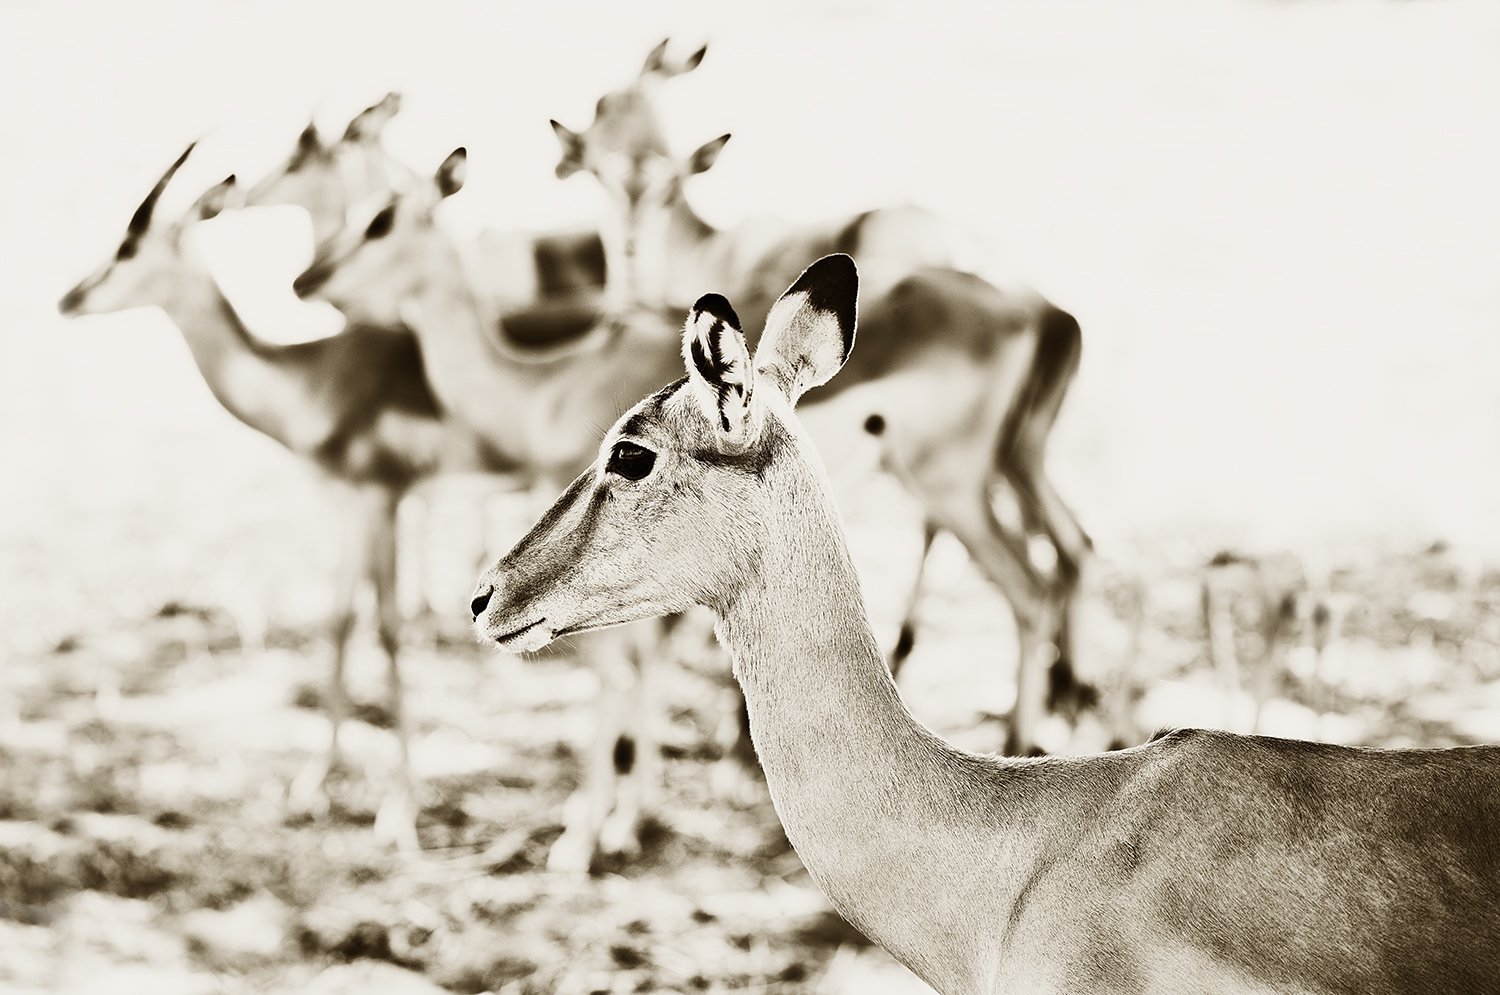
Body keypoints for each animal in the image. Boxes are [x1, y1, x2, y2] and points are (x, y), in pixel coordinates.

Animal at [57, 144, 508, 851]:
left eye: (128, 250)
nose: (69, 298)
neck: (313, 379)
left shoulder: (381, 500)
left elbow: (388, 631)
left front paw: (401, 812)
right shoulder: (349, 507)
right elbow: (339, 623)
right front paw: (315, 784)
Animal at [552, 42, 1094, 720]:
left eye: (666, 185)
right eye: (600, 175)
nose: (626, 251)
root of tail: (1036, 307)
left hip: (956, 483)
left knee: (1029, 585)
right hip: (1016, 462)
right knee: (1074, 549)